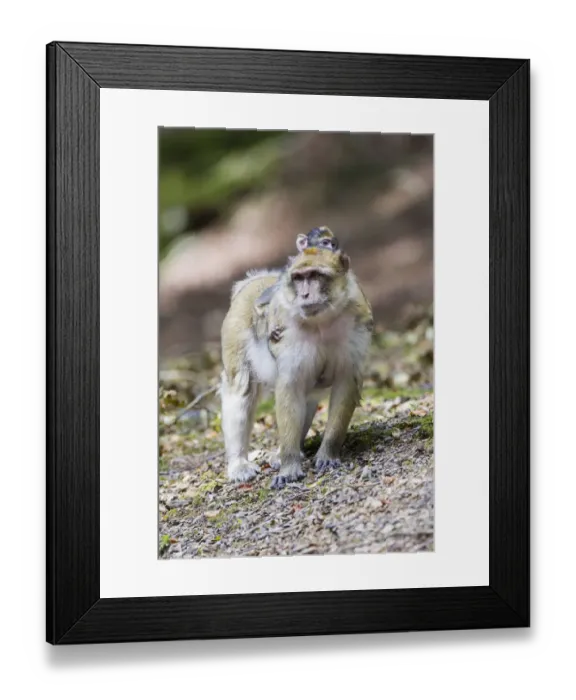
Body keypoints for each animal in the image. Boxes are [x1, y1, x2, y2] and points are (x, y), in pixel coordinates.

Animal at [220, 247, 373, 489]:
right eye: (299, 278)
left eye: (315, 275)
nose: (305, 295)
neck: (322, 323)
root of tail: (256, 280)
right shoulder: (288, 339)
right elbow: (290, 389)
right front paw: (289, 466)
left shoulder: (357, 325)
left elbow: (345, 383)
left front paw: (328, 453)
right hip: (235, 331)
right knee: (241, 388)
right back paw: (240, 463)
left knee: (308, 396)